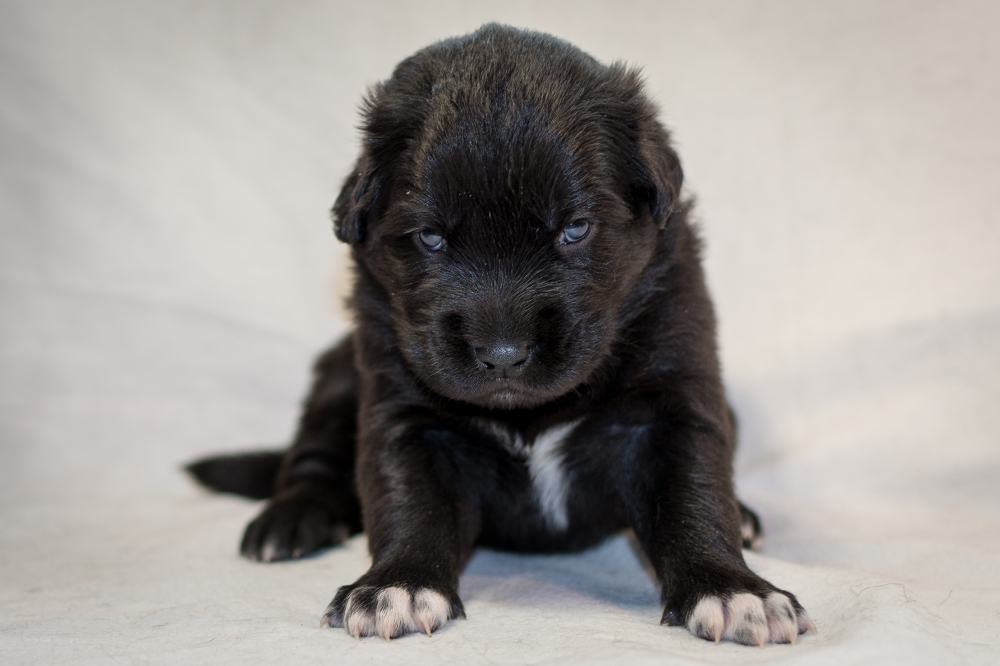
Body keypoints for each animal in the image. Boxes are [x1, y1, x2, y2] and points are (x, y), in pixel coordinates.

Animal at [188, 24, 812, 644]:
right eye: (430, 237)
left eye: (575, 229)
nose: (504, 355)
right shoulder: (408, 416)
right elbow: (409, 501)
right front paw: (396, 585)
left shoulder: (670, 400)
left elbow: (694, 495)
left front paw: (732, 590)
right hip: (337, 377)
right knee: (310, 458)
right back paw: (290, 519)